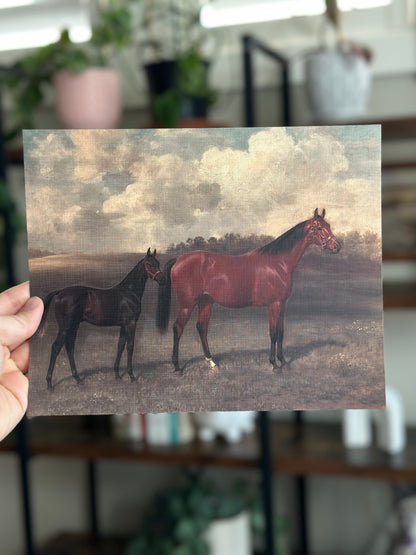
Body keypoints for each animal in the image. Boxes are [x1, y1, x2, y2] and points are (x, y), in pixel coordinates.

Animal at [38, 250, 162, 388]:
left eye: (158, 263)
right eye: (149, 264)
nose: (161, 279)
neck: (129, 292)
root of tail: (60, 292)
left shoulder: (123, 325)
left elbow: (120, 345)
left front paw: (117, 374)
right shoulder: (131, 323)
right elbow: (130, 346)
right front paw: (131, 376)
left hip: (74, 326)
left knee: (70, 348)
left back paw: (78, 378)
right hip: (66, 327)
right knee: (56, 347)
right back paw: (49, 383)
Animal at [158, 211, 340, 376]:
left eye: (328, 225)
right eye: (319, 228)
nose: (337, 246)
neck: (277, 263)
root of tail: (179, 260)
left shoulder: (282, 304)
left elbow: (281, 332)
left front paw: (284, 361)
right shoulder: (273, 305)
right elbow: (273, 333)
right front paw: (274, 365)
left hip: (206, 302)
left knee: (201, 328)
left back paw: (212, 363)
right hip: (187, 304)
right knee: (178, 328)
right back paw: (177, 367)